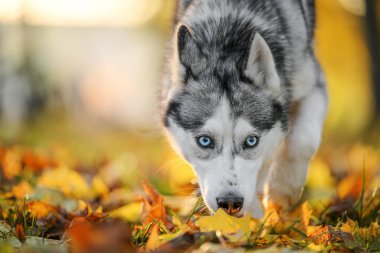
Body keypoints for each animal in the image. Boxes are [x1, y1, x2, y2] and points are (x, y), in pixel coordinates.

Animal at [160, 0, 326, 217]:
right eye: (204, 141)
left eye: (251, 140)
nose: (230, 203)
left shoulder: (314, 84)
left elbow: (303, 142)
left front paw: (283, 190)